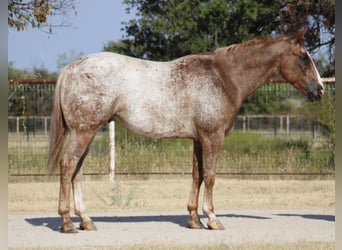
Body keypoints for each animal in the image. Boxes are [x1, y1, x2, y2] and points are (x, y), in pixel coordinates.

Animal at [47, 28, 324, 233]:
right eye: (303, 57)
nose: (319, 90)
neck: (223, 77)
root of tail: (71, 68)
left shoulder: (199, 139)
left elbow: (197, 175)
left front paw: (194, 219)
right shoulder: (213, 137)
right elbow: (210, 176)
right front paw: (212, 218)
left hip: (86, 133)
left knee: (76, 172)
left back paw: (86, 220)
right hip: (84, 132)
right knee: (68, 166)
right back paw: (67, 222)